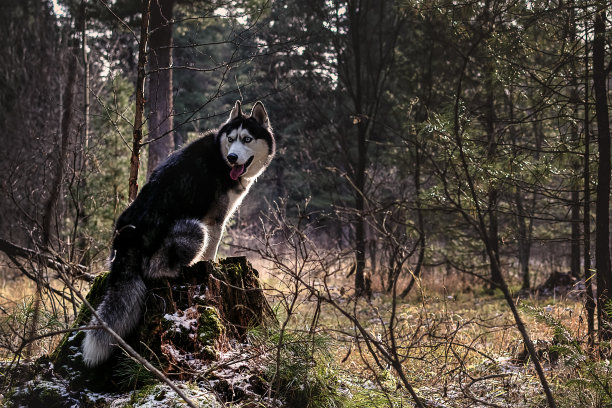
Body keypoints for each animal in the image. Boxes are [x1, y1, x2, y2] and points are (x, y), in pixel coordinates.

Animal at [80, 99, 274, 366]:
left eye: (246, 139)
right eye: (231, 139)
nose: (233, 157)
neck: (220, 158)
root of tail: (126, 242)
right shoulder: (215, 222)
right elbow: (210, 255)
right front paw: (211, 268)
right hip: (194, 229)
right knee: (155, 271)